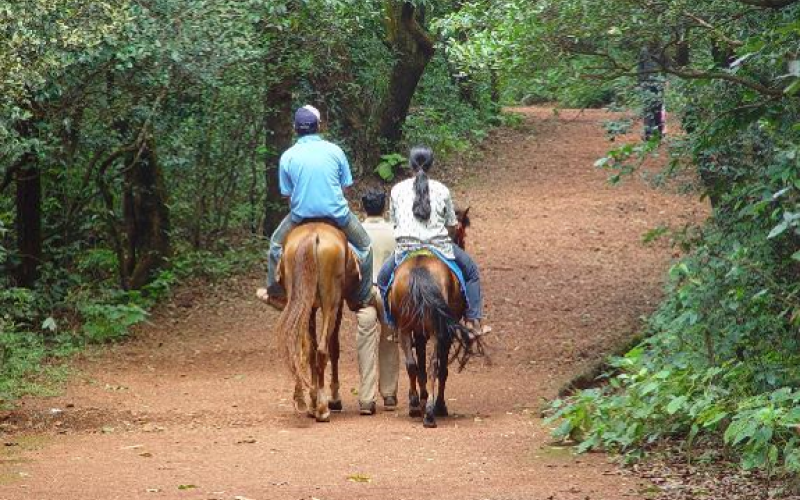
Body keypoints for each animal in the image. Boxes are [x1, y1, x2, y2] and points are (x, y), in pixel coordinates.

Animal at [276, 223, 360, 422]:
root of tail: (313, 235)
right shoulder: (338, 304)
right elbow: (334, 348)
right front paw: (334, 399)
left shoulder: (311, 308)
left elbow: (309, 350)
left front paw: (311, 402)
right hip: (331, 302)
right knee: (323, 350)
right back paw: (323, 408)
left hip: (301, 300)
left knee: (303, 349)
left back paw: (305, 402)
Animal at [386, 209, 468, 428]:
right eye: (463, 235)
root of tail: (419, 268)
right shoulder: (446, 333)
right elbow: (441, 369)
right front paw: (439, 404)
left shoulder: (420, 332)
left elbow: (420, 365)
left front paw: (422, 399)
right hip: (439, 331)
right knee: (435, 366)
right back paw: (431, 411)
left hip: (405, 327)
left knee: (412, 364)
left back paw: (416, 405)